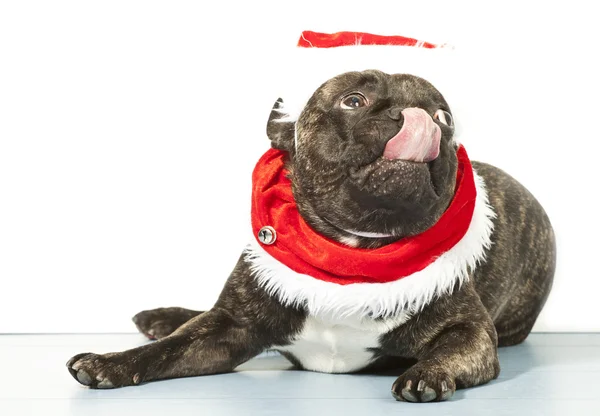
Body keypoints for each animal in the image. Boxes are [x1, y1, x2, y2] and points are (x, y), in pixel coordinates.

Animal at [67, 70, 556, 402]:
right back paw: (162, 317)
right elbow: (169, 350)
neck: (353, 250)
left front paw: (429, 373)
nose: (420, 118)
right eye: (353, 100)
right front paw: (109, 363)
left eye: (444, 116)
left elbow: (455, 347)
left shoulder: (469, 331)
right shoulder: (228, 328)